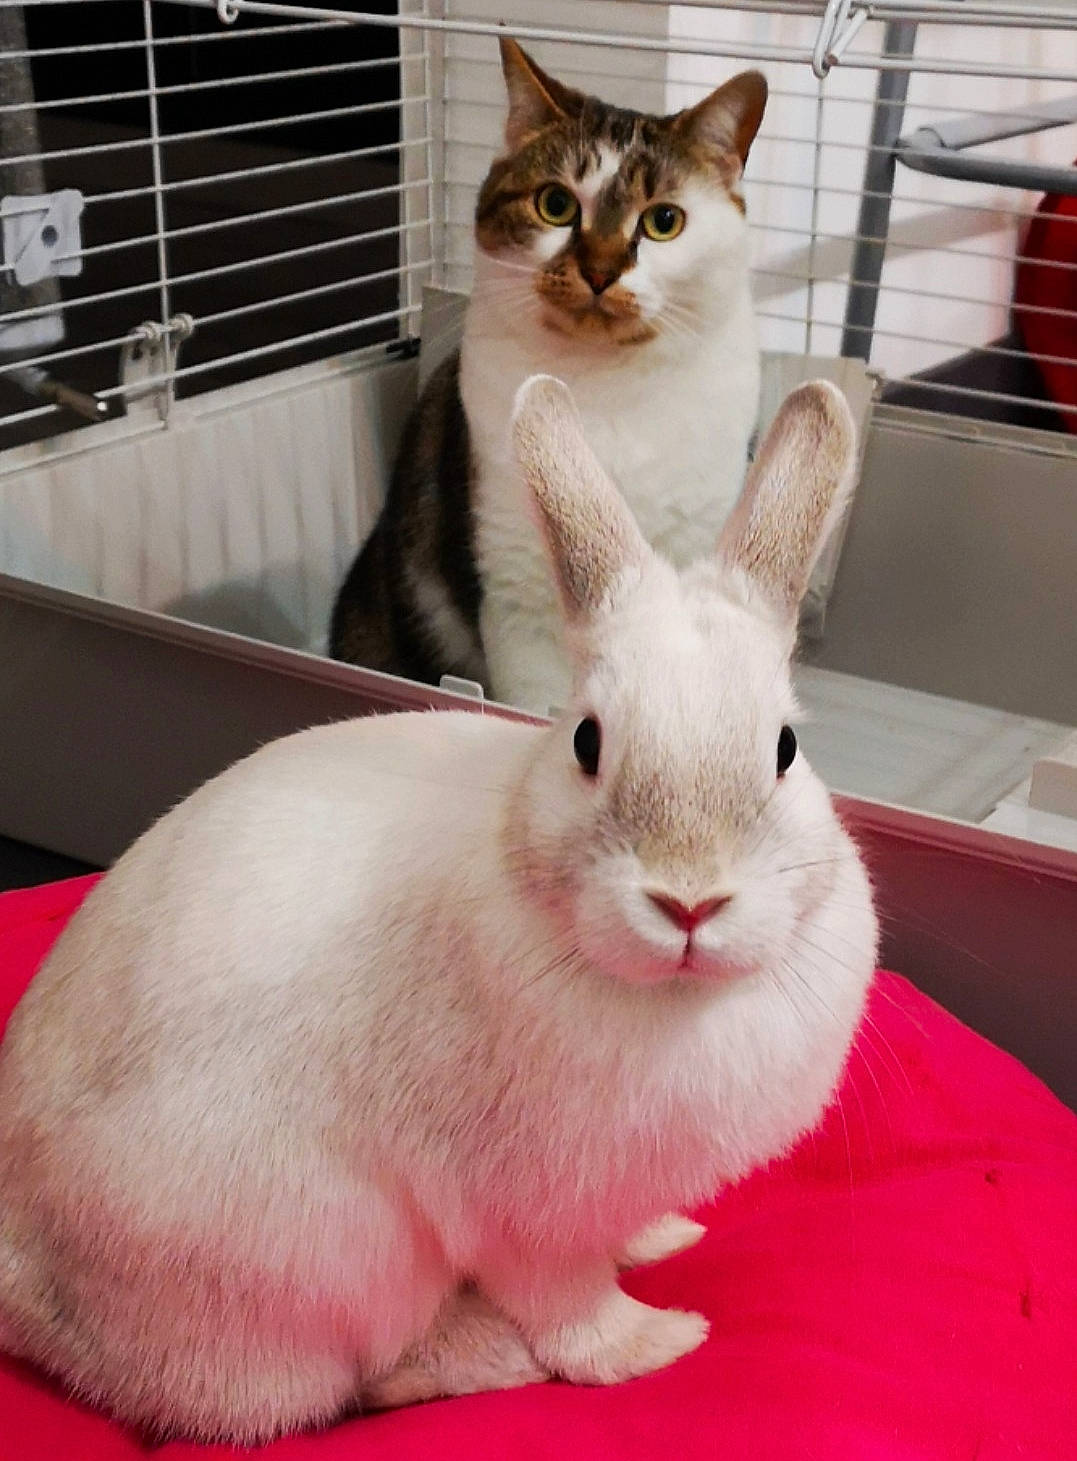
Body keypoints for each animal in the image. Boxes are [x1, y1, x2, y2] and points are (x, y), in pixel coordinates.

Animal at [0, 376, 877, 1445]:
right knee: (351, 1382)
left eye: (785, 748)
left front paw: (666, 1234)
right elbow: (571, 1310)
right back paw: (483, 1354)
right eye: (586, 741)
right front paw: (658, 1342)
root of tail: (20, 1281)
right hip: (323, 1264)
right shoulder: (524, 1217)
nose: (689, 899)